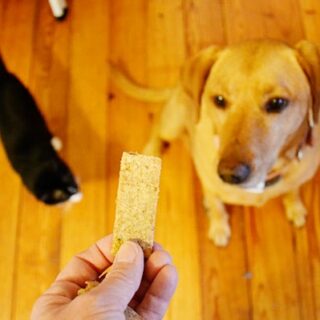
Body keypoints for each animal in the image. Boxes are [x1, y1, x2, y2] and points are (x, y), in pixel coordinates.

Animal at [0, 56, 81, 204]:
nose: (74, 190)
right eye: (61, 196)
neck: (36, 165)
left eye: (68, 178)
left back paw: (55, 142)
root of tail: (2, 78)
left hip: (28, 99)